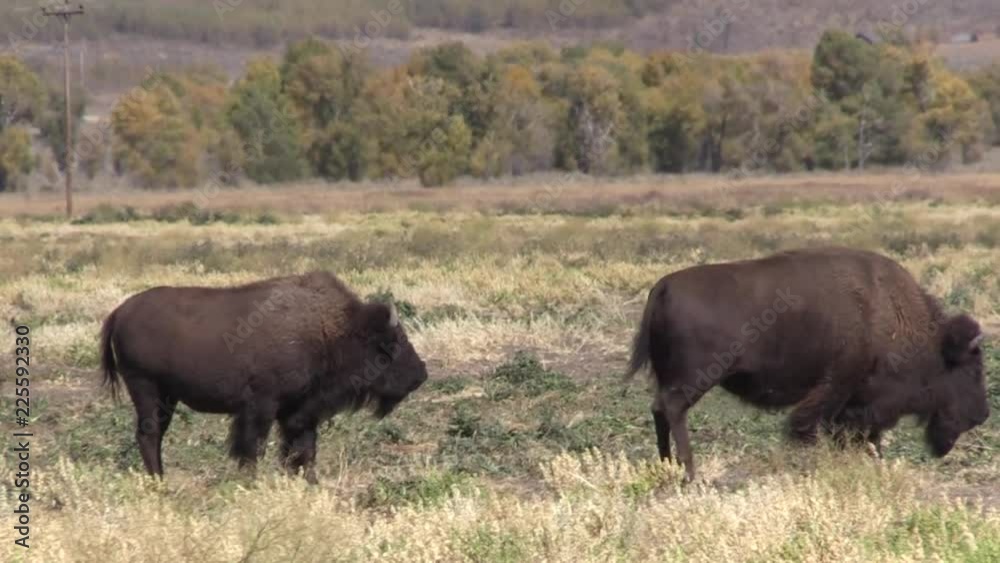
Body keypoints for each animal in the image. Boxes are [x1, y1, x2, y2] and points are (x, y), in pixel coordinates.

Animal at [99, 270, 428, 482]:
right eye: (390, 344)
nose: (421, 374)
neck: (331, 330)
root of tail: (120, 311)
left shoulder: (300, 411)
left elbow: (303, 449)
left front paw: (308, 482)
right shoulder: (261, 406)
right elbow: (253, 447)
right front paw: (252, 482)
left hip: (166, 396)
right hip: (147, 389)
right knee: (149, 434)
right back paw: (159, 483)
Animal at [628, 247, 988, 480]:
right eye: (972, 371)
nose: (981, 415)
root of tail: (663, 287)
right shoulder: (839, 389)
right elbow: (813, 425)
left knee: (659, 410)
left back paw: (668, 465)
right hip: (695, 378)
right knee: (673, 409)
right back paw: (690, 472)